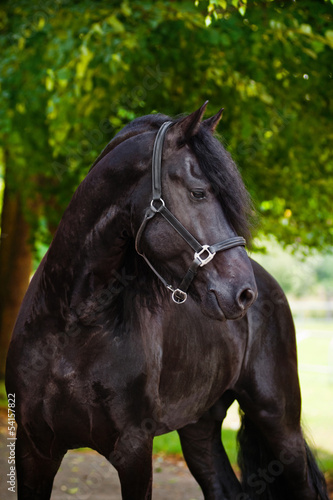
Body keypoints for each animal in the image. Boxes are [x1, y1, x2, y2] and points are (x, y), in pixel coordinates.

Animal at [5, 103, 326, 498]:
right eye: (199, 193)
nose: (243, 293)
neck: (71, 324)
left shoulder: (134, 451)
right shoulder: (33, 449)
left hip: (279, 422)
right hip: (199, 427)